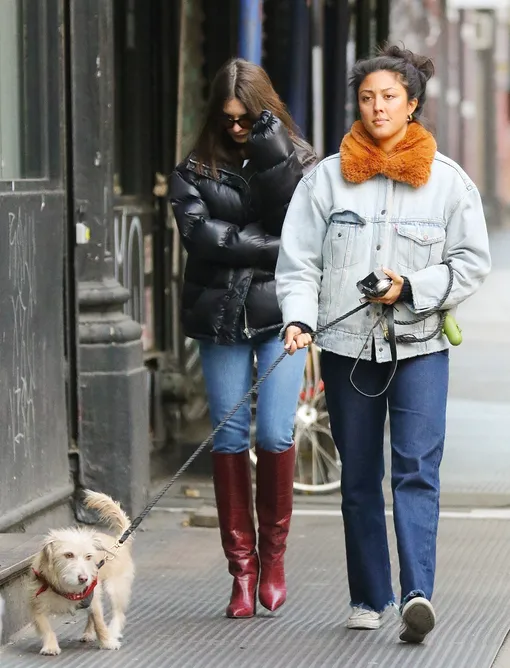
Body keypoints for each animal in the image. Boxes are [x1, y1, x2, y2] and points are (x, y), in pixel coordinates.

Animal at [28, 490, 135, 656]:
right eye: (68, 555)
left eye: (89, 556)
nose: (84, 578)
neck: (67, 588)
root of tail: (117, 542)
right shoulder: (37, 606)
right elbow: (46, 628)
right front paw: (50, 646)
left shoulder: (94, 598)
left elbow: (99, 622)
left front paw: (107, 642)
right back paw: (88, 633)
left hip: (115, 588)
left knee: (118, 613)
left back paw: (112, 632)